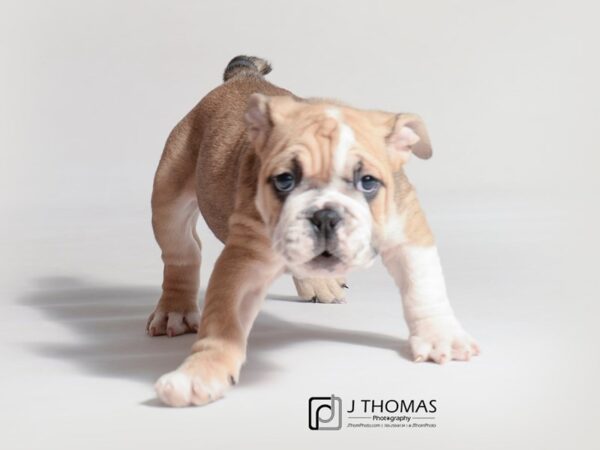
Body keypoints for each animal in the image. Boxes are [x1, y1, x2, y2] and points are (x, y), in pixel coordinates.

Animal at [149, 54, 478, 406]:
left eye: (368, 182)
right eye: (285, 180)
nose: (325, 215)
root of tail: (240, 77)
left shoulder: (408, 229)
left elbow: (423, 286)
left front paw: (441, 337)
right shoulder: (245, 258)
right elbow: (223, 320)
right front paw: (200, 372)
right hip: (169, 194)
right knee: (182, 253)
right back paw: (175, 311)